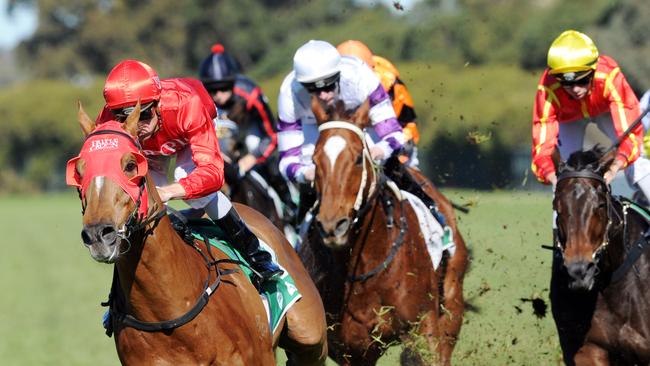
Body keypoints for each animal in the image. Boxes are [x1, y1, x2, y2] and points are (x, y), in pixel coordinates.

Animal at [296, 98, 468, 364]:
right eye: (315, 160)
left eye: (358, 158)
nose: (332, 226)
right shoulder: (352, 348)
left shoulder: (423, 327)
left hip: (451, 304)